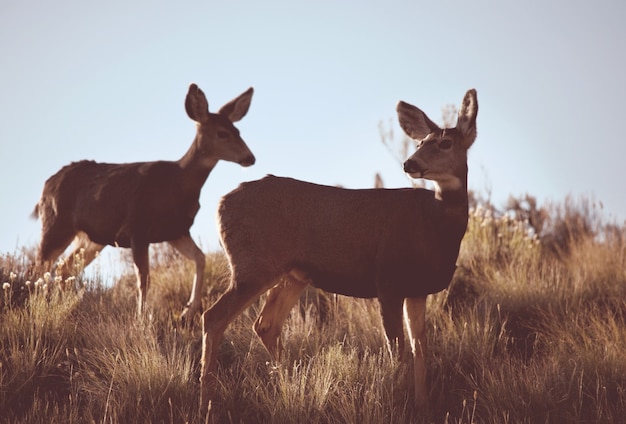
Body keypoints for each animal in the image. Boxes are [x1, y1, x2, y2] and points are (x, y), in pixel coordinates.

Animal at [30, 83, 255, 322]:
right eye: (222, 133)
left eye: (238, 131)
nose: (250, 158)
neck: (178, 183)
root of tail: (46, 185)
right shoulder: (137, 229)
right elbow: (144, 278)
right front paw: (141, 317)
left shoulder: (176, 231)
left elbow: (200, 258)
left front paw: (188, 310)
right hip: (57, 224)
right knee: (40, 266)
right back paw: (39, 307)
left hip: (92, 239)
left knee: (63, 269)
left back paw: (64, 309)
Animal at [197, 89, 476, 414]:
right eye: (420, 142)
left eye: (445, 143)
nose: (410, 163)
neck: (435, 226)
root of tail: (221, 203)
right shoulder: (388, 280)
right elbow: (397, 350)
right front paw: (398, 402)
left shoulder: (418, 289)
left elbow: (420, 348)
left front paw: (423, 406)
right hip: (253, 265)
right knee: (214, 317)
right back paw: (208, 401)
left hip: (292, 275)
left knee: (265, 324)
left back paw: (289, 386)